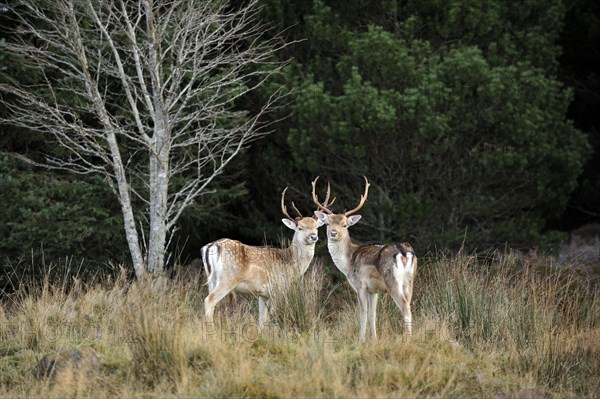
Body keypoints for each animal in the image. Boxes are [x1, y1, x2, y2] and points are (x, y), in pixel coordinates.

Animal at [202, 186, 324, 326]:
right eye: (300, 228)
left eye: (316, 227)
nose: (313, 237)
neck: (289, 263)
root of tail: (211, 246)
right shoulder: (277, 289)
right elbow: (270, 318)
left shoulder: (263, 294)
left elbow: (261, 321)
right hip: (227, 279)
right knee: (209, 301)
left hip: (212, 279)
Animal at [312, 178, 414, 344]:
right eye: (327, 223)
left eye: (344, 225)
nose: (333, 233)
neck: (347, 263)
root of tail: (403, 250)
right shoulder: (374, 290)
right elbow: (373, 314)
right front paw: (374, 339)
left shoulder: (360, 285)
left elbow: (363, 313)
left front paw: (361, 340)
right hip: (409, 281)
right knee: (409, 303)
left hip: (392, 281)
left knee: (405, 307)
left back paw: (408, 340)